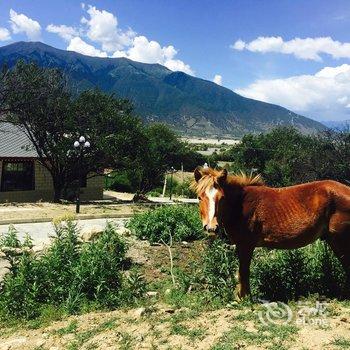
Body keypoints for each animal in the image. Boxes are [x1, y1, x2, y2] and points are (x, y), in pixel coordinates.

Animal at [191, 168, 350, 300]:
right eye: (199, 197)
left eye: (222, 198)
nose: (211, 228)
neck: (240, 205)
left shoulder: (246, 246)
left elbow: (243, 271)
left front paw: (244, 298)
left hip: (340, 240)